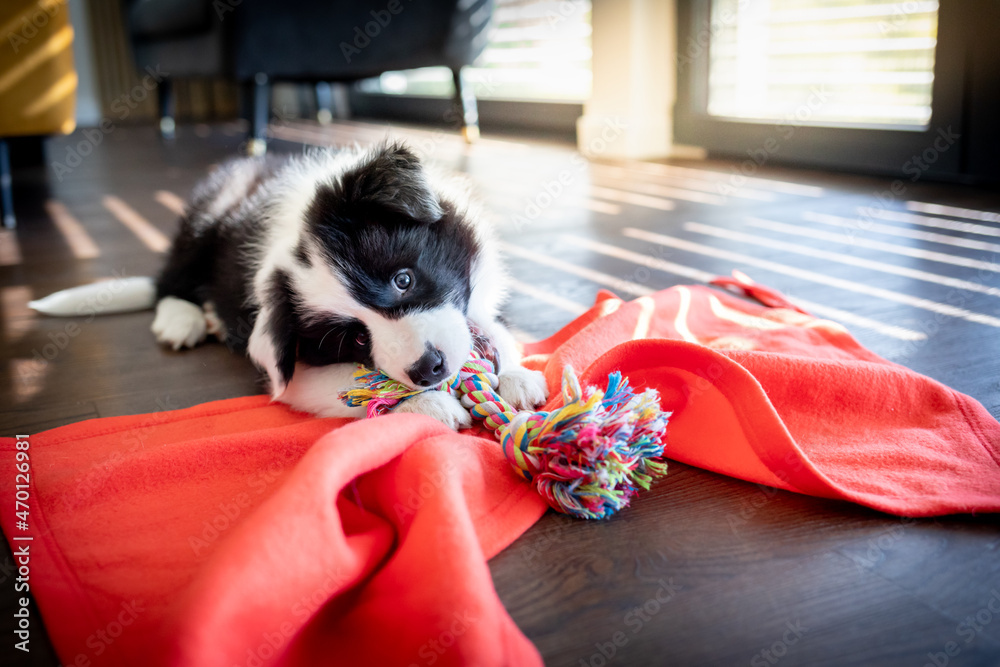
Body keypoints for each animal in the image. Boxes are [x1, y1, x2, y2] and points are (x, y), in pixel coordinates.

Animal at [150, 141, 548, 428]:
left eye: (403, 280)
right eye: (357, 338)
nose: (428, 369)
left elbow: (493, 328)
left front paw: (516, 375)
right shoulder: (294, 375)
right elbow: (350, 384)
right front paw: (428, 403)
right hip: (205, 219)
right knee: (169, 278)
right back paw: (181, 318)